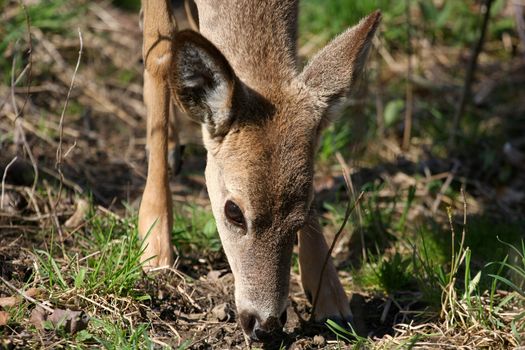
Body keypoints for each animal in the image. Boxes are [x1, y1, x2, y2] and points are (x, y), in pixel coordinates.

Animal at [137, 0, 378, 340]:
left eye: (303, 214)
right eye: (233, 212)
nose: (266, 325)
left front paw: (331, 296)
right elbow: (160, 52)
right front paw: (154, 244)